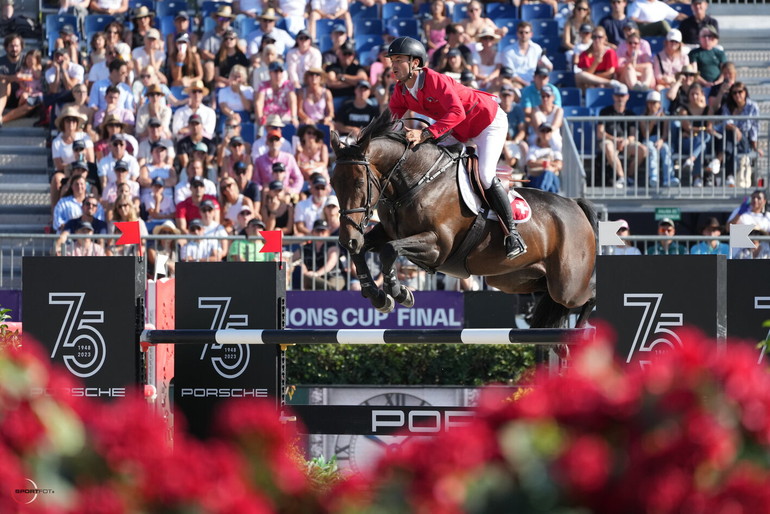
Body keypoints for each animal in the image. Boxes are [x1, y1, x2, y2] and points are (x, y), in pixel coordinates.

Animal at [328, 108, 596, 328]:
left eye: (359, 182)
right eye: (333, 183)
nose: (347, 238)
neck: (418, 180)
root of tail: (575, 204)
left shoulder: (439, 245)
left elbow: (389, 250)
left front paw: (399, 292)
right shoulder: (387, 231)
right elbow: (363, 251)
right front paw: (378, 296)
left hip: (568, 285)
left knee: (589, 294)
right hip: (516, 279)